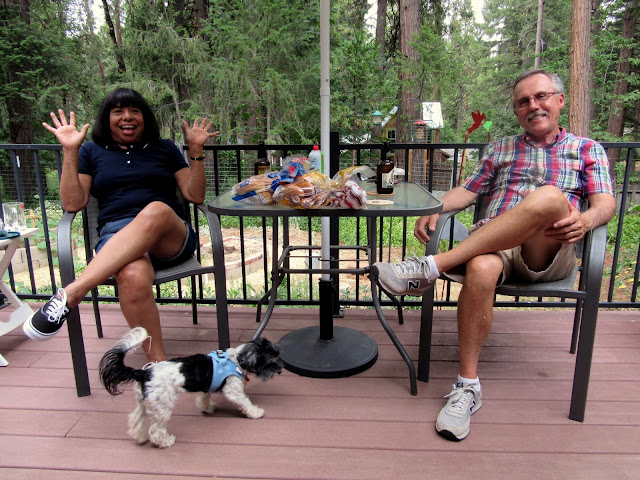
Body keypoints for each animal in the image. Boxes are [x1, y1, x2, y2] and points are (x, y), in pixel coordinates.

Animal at [99, 327, 283, 448]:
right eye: (271, 362)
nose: (280, 371)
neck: (236, 360)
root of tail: (143, 373)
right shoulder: (233, 391)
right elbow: (245, 402)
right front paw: (256, 412)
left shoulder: (207, 386)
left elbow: (204, 398)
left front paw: (208, 408)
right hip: (162, 406)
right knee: (156, 430)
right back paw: (165, 441)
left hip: (144, 403)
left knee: (135, 419)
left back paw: (139, 436)